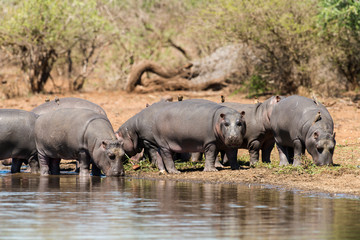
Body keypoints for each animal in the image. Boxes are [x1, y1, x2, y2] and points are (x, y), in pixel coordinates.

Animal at [116, 98, 246, 173]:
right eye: (226, 123)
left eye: (240, 122)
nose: (233, 137)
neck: (131, 130)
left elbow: (231, 154)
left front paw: (237, 167)